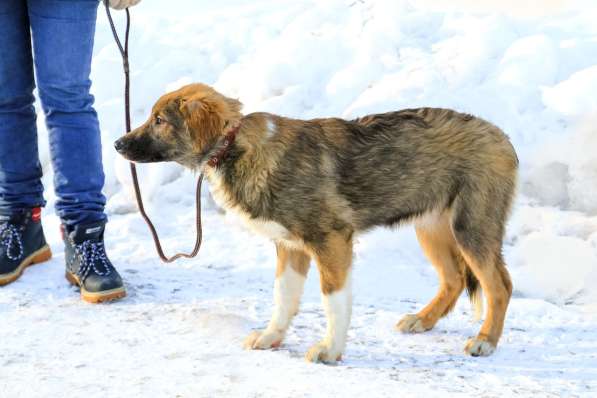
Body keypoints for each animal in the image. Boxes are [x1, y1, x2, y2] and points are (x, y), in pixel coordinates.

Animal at [115, 83, 516, 364]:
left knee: (499, 286)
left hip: (470, 226)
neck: (234, 147)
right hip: (431, 226)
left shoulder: (331, 240)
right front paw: (271, 338)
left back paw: (485, 341)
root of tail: (501, 135)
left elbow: (333, 301)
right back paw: (423, 320)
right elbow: (283, 297)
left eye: (159, 120)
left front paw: (330, 350)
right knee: (452, 279)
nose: (118, 144)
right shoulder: (289, 247)